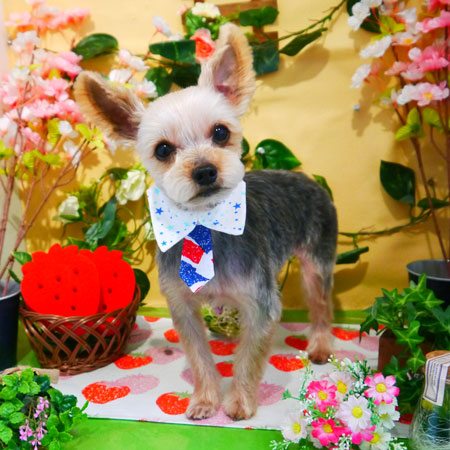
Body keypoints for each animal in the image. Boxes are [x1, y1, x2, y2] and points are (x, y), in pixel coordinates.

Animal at [74, 23, 337, 421]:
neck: (204, 224)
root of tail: (310, 180)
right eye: (163, 149)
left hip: (317, 260)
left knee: (321, 304)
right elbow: (199, 357)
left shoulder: (260, 305)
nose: (204, 170)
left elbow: (247, 359)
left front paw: (239, 403)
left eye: (220, 132)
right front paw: (204, 400)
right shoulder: (182, 306)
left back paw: (320, 345)